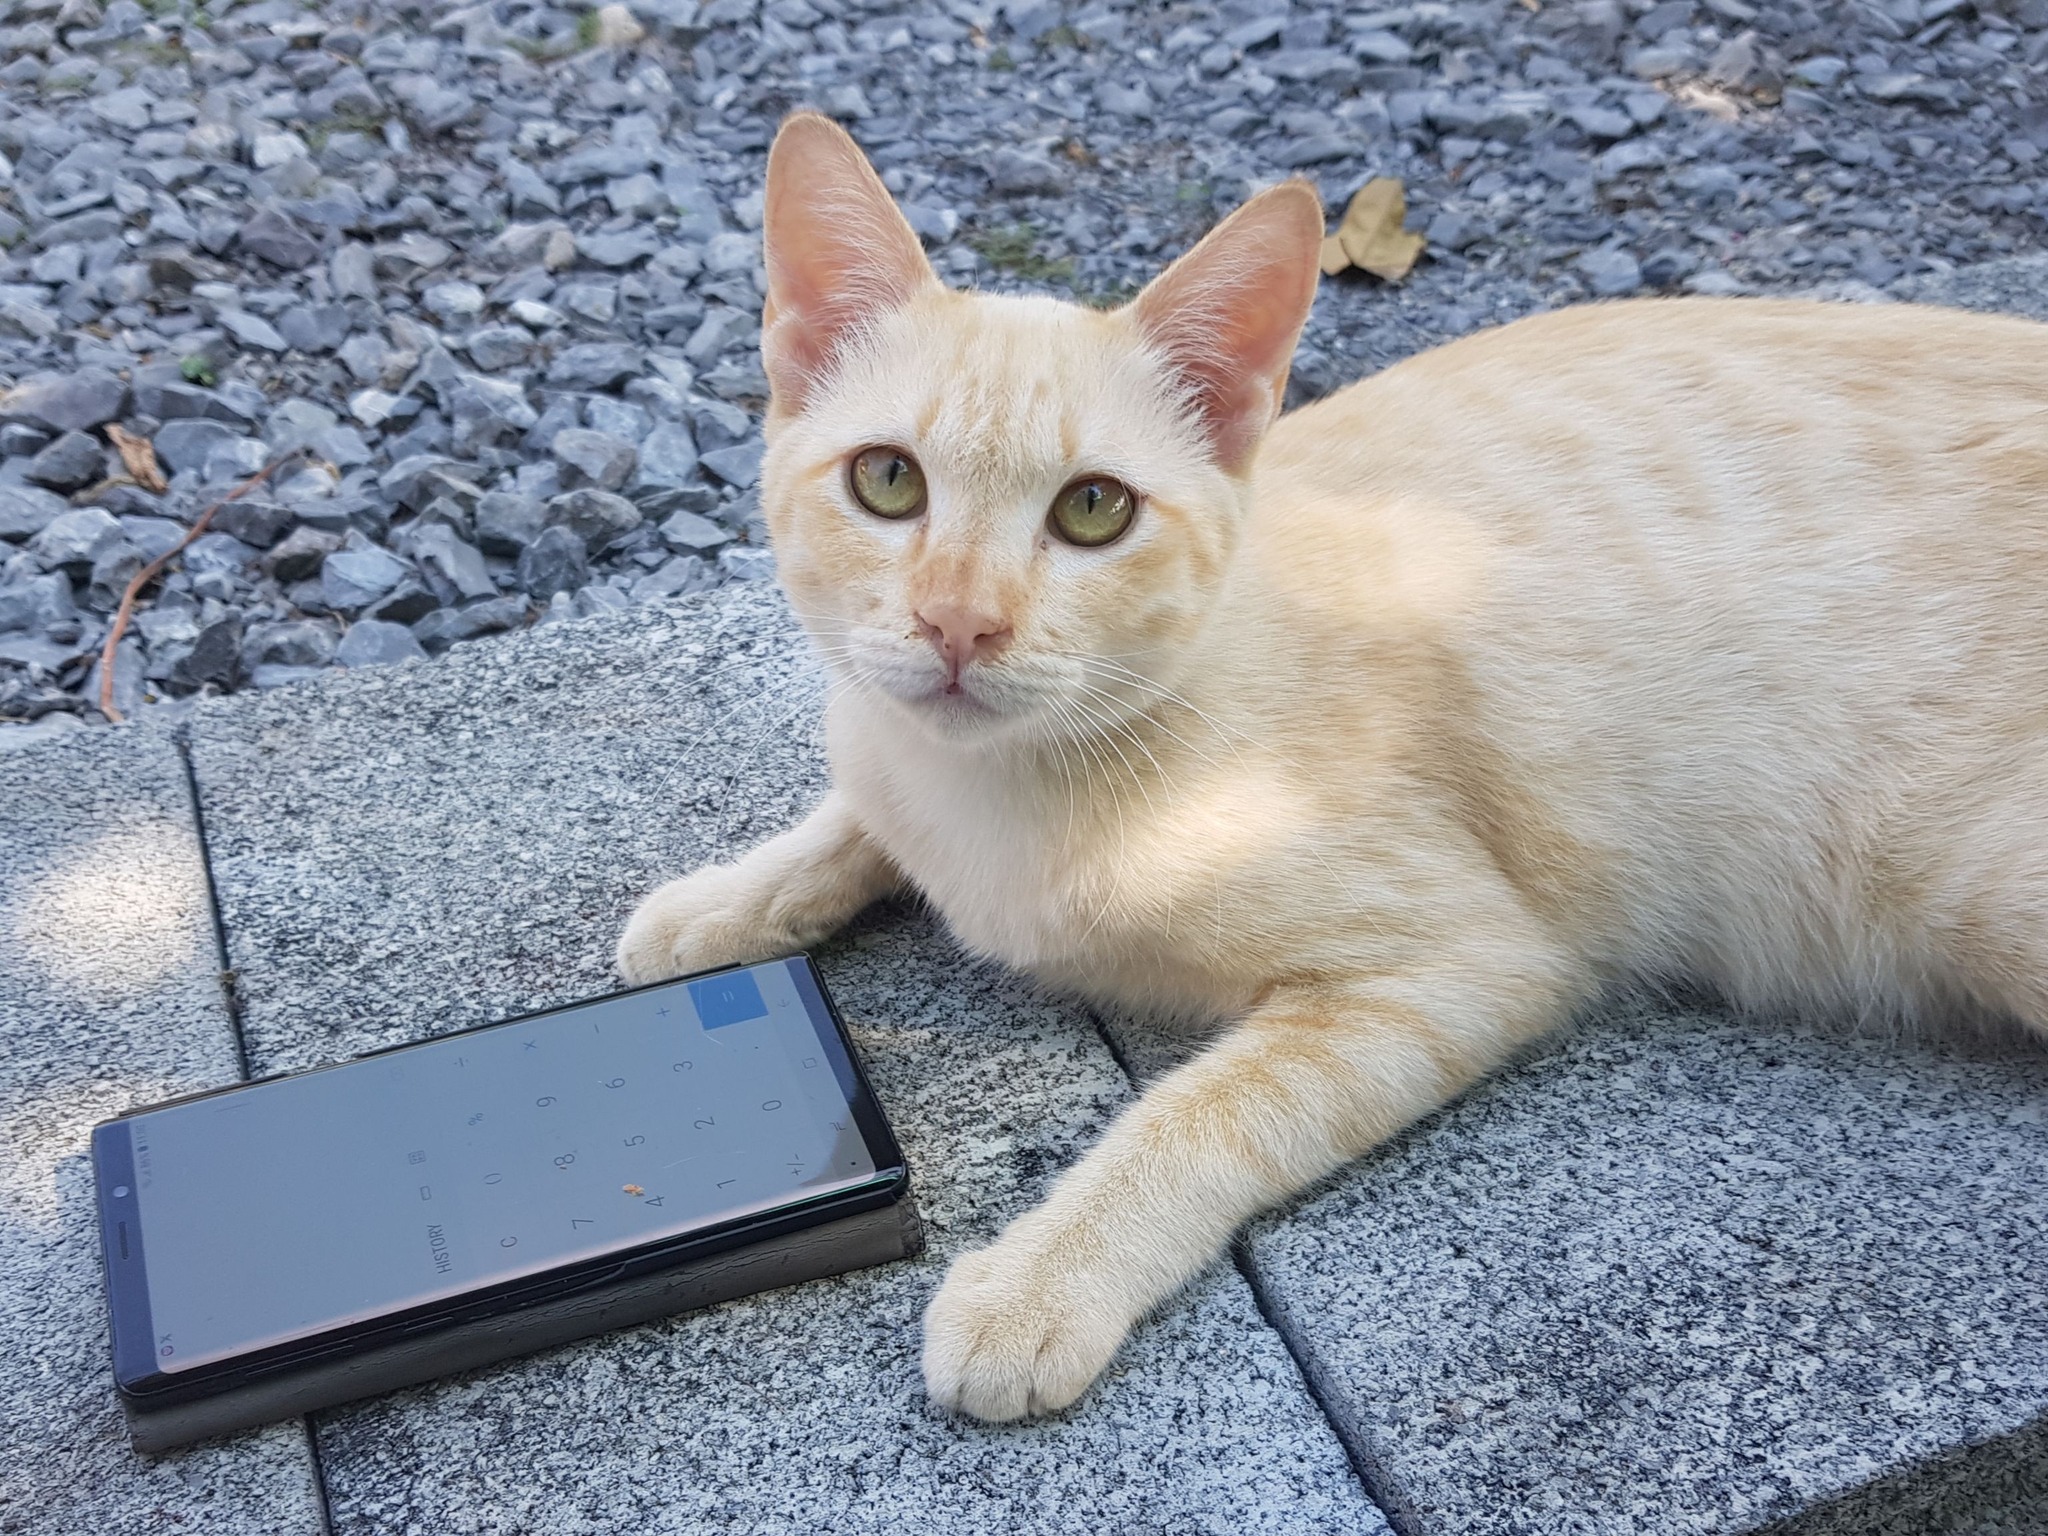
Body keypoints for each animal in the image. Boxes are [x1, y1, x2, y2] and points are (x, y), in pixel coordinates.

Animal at [619, 111, 2048, 1422]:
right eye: (886, 482)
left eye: (1093, 510)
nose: (959, 625)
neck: (1003, 795)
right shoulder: (890, 751)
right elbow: (854, 813)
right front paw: (720, 908)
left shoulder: (1459, 964)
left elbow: (1199, 1113)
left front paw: (1039, 1283)